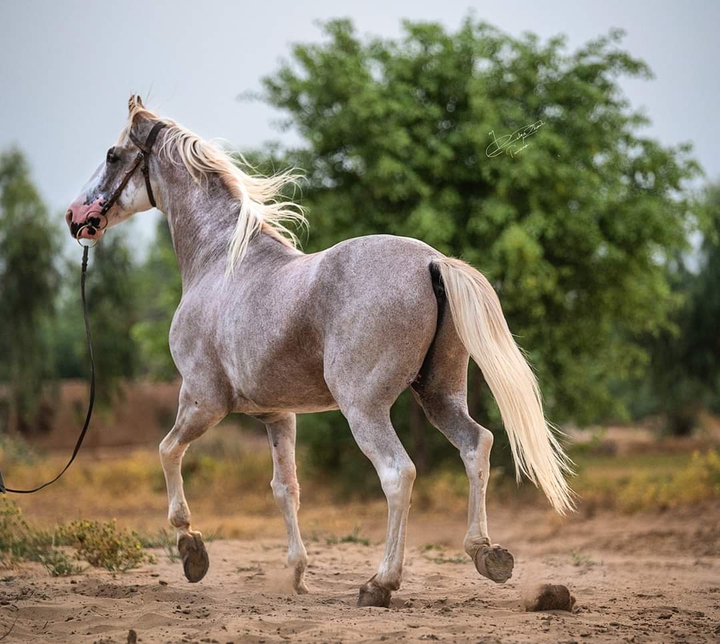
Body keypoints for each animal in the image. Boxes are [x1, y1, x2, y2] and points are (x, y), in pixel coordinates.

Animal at [66, 95, 573, 607]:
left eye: (112, 155)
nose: (75, 217)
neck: (221, 262)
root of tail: (432, 261)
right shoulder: (277, 415)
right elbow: (284, 487)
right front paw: (296, 573)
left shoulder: (202, 399)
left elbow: (168, 451)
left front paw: (192, 549)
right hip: (438, 395)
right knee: (476, 445)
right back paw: (487, 554)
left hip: (363, 408)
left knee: (398, 474)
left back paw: (380, 583)